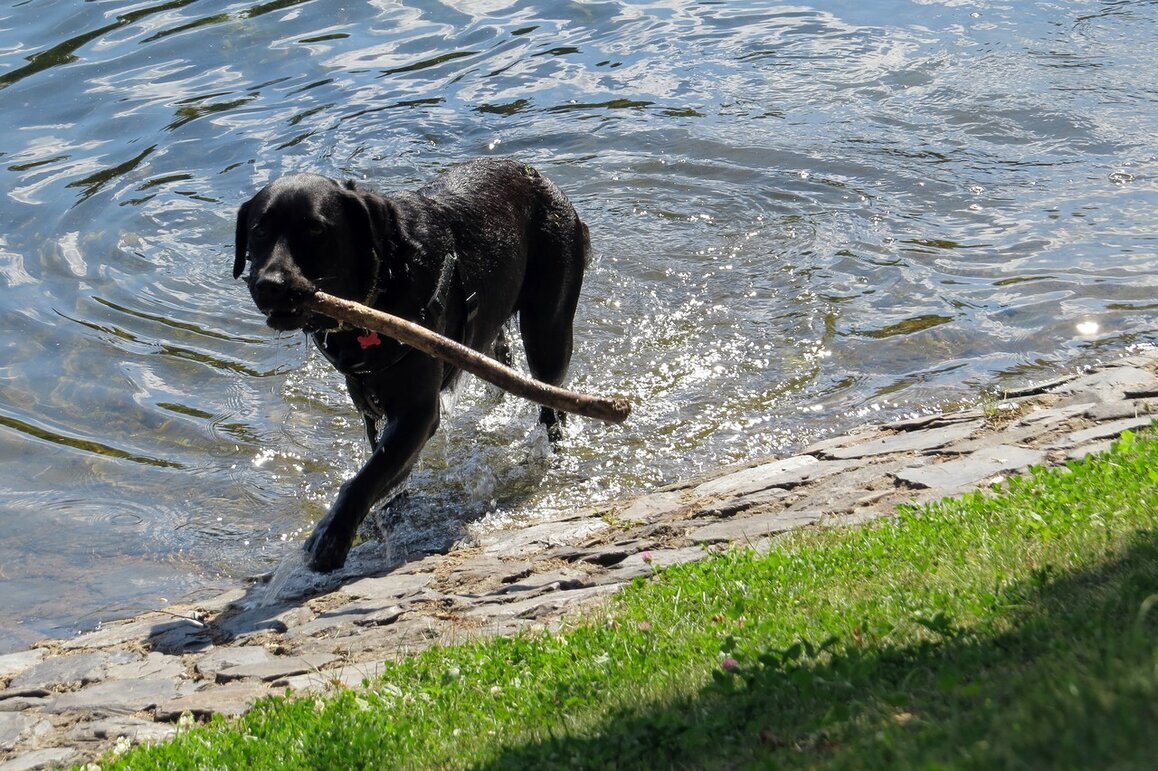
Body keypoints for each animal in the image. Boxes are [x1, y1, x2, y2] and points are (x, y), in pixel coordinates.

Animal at [235, 158, 588, 569]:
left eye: (316, 231)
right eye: (259, 231)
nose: (269, 284)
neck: (383, 283)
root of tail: (538, 175)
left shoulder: (418, 412)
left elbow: (366, 477)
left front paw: (332, 534)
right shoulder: (368, 401)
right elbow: (385, 468)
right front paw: (387, 511)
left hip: (548, 327)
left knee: (553, 403)